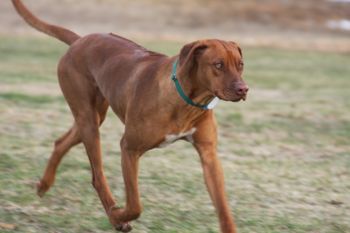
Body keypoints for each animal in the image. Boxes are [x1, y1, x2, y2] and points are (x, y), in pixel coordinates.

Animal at [12, 0, 247, 232]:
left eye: (240, 65)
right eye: (218, 65)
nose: (243, 89)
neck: (186, 100)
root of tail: (79, 40)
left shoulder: (209, 155)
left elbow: (224, 210)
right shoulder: (129, 148)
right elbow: (135, 205)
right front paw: (117, 215)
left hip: (93, 116)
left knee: (62, 142)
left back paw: (44, 184)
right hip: (88, 120)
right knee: (97, 175)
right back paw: (113, 216)